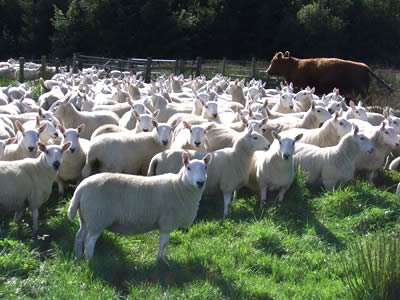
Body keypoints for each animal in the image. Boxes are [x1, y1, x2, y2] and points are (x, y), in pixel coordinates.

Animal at [69, 152, 212, 260]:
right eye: (188, 168)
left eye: (205, 168)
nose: (200, 182)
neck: (179, 187)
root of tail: (80, 189)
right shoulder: (167, 222)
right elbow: (163, 244)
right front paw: (161, 261)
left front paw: (161, 260)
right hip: (97, 218)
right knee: (89, 242)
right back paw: (89, 260)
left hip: (86, 218)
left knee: (79, 236)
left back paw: (78, 257)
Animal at [266, 51, 394, 98]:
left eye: (274, 61)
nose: (267, 71)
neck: (294, 66)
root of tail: (364, 66)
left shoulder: (300, 85)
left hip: (361, 90)